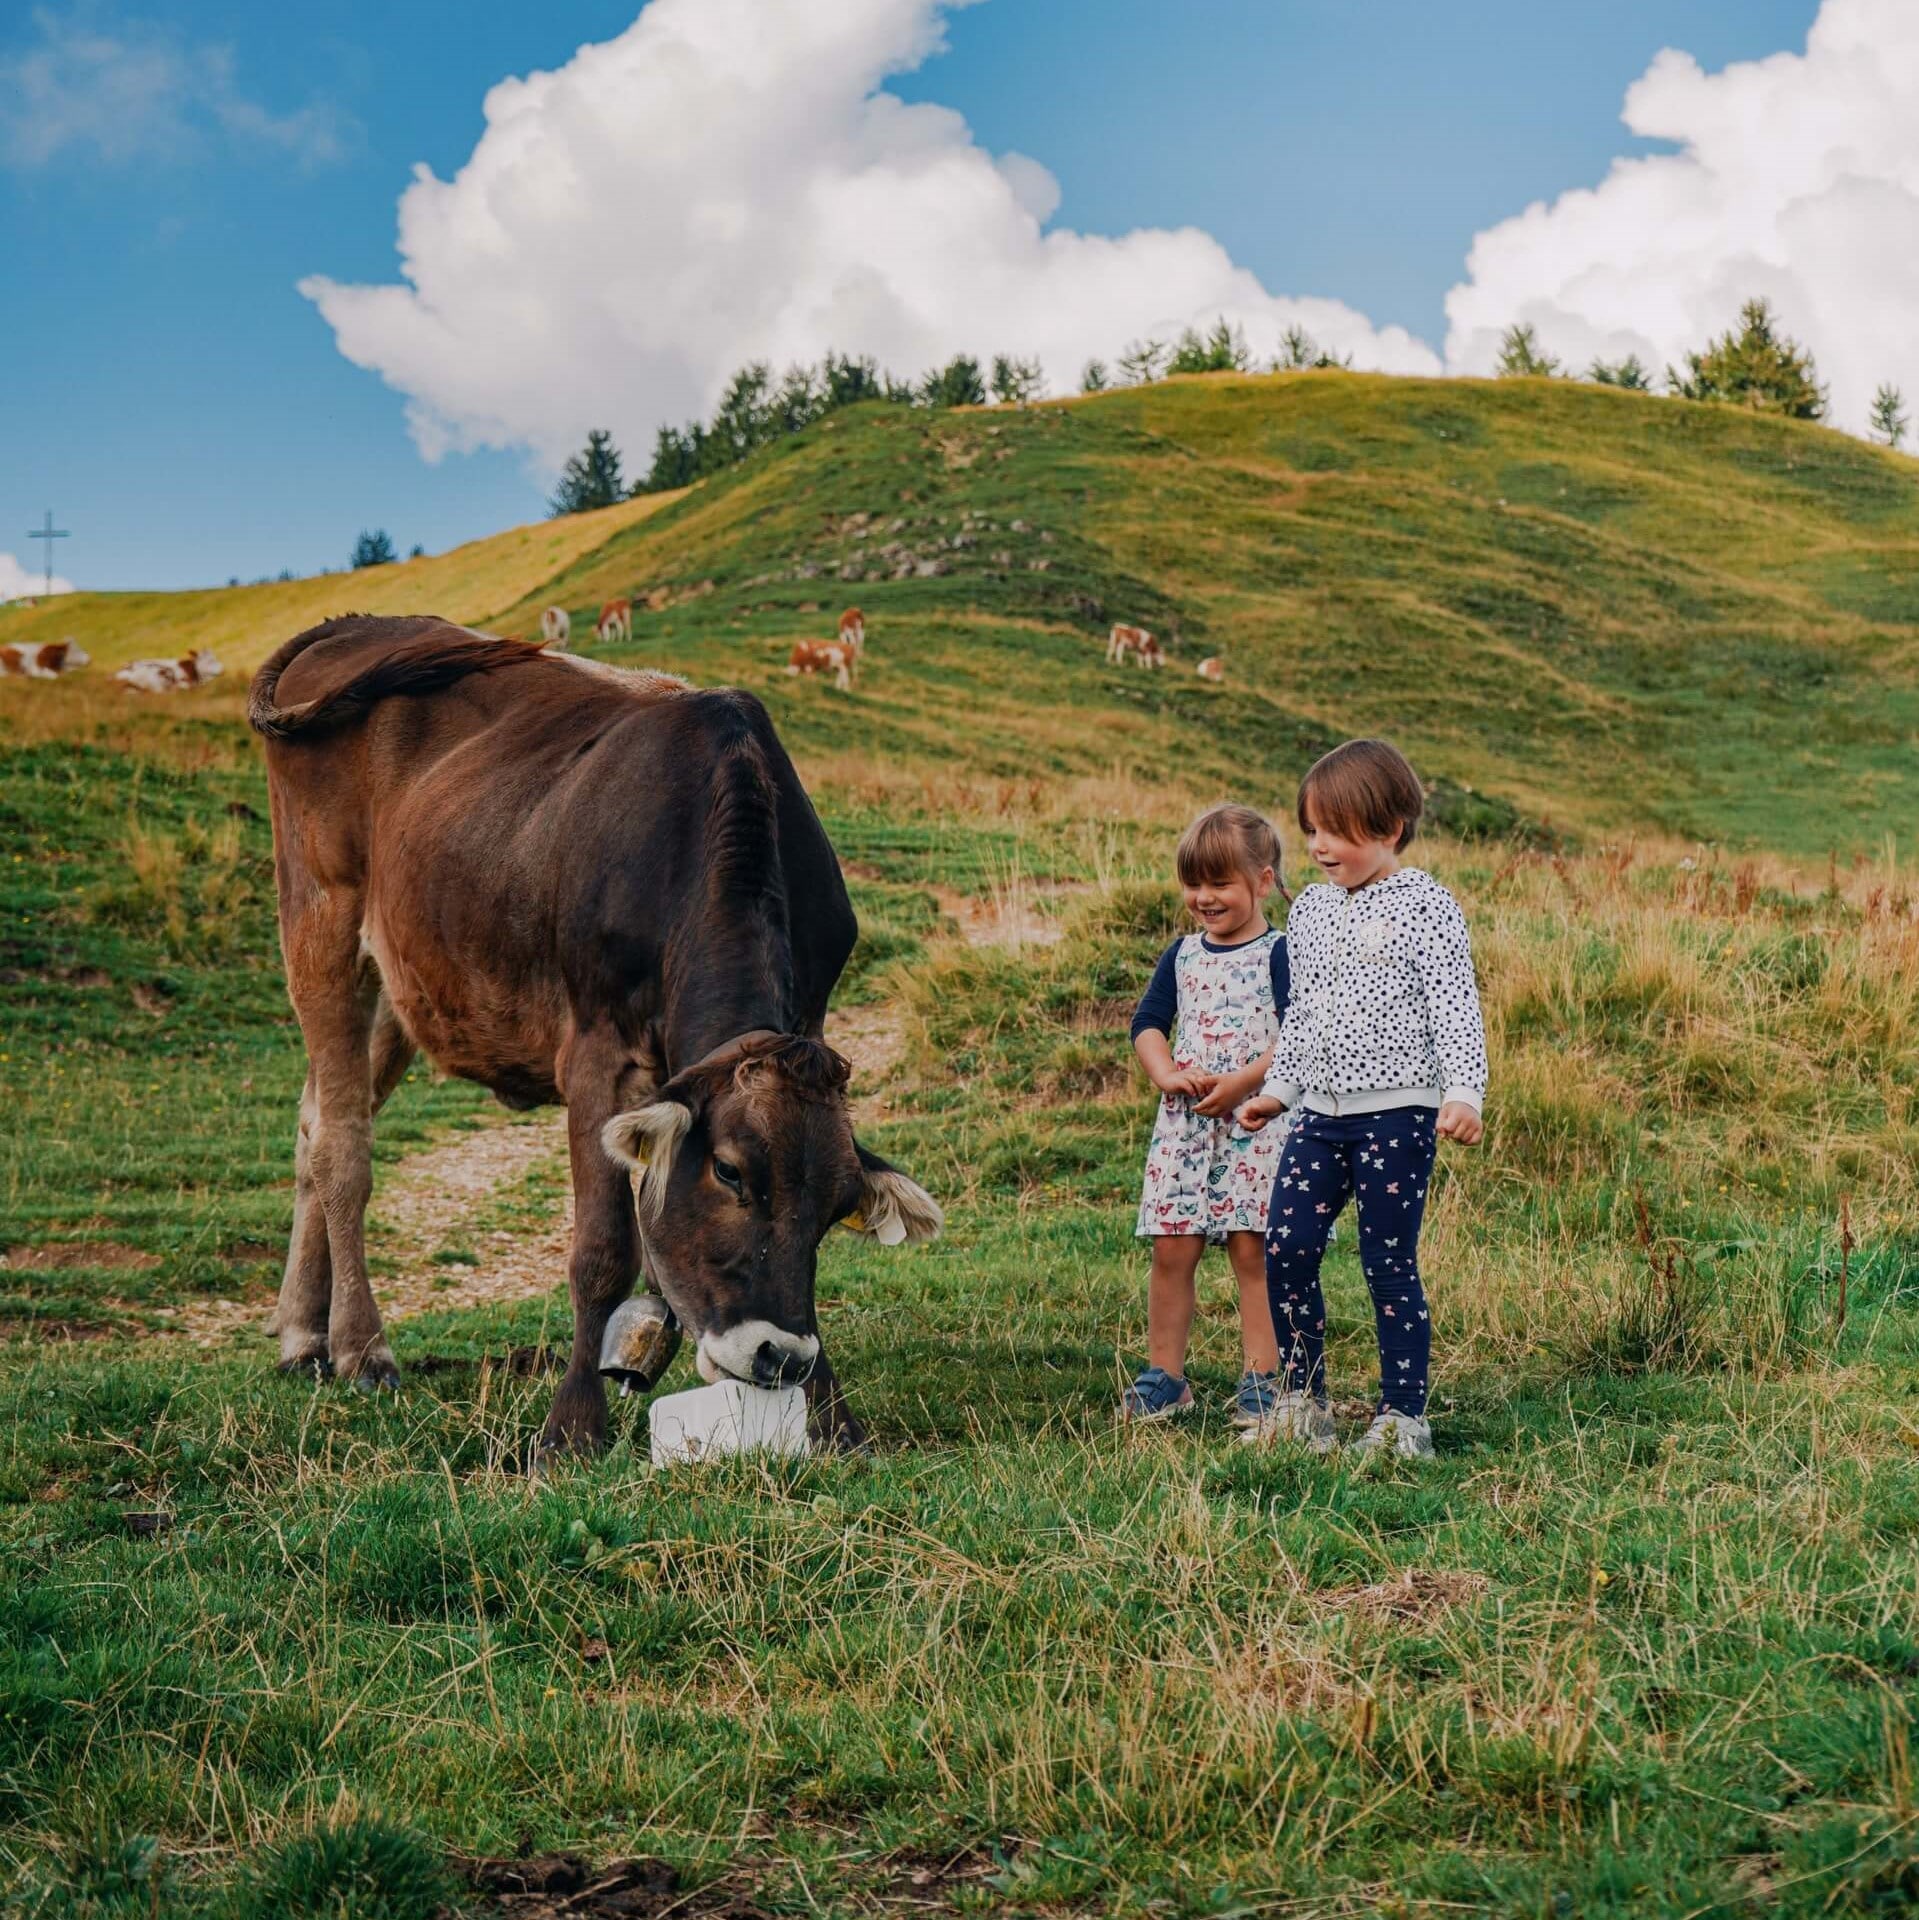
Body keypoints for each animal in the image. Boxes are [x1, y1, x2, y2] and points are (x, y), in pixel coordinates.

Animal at [247, 614, 937, 1451]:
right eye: (730, 1171)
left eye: (840, 1204)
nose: (777, 1355)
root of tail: (353, 626)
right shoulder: (598, 1053)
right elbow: (602, 1250)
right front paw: (570, 1426)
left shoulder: (806, 1014)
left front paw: (830, 1415)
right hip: (318, 920)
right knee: (342, 1143)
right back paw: (359, 1346)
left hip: (403, 978)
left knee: (313, 1121)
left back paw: (300, 1335)